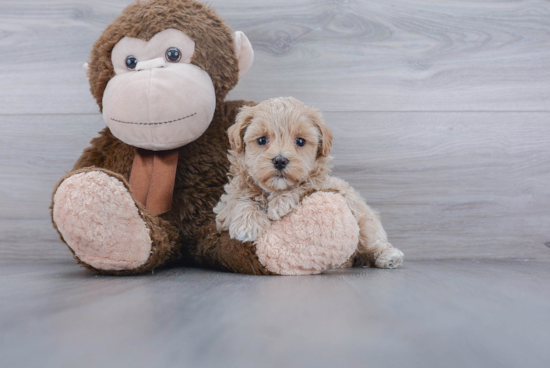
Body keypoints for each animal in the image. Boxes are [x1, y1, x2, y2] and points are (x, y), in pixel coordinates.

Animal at [216, 96, 406, 268]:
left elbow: (305, 184)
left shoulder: (325, 185)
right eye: (262, 140)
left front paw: (281, 202)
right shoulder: (225, 205)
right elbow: (240, 200)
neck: (273, 189)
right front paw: (247, 224)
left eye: (300, 141)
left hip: (364, 222)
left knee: (373, 243)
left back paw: (389, 257)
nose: (280, 160)